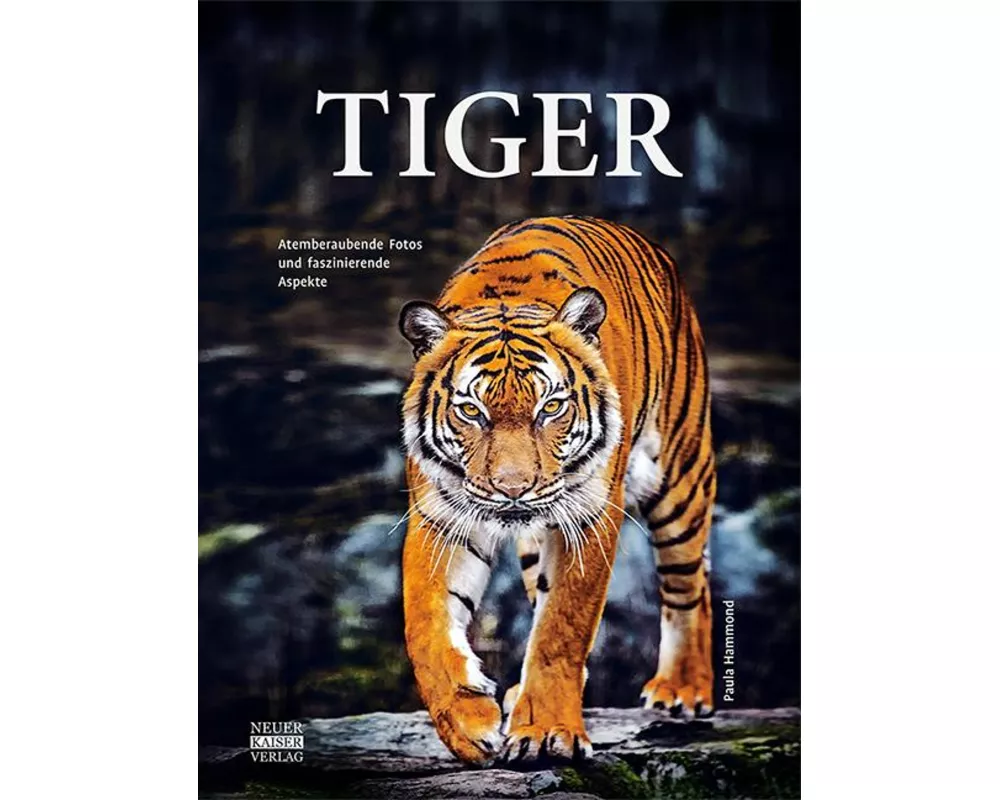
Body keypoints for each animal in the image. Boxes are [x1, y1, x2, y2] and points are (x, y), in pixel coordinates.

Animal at [398, 215, 715, 765]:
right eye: (471, 411)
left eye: (550, 407)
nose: (513, 489)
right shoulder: (441, 517)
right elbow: (426, 623)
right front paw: (468, 725)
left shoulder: (588, 515)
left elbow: (561, 628)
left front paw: (546, 735)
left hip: (680, 479)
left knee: (690, 586)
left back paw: (684, 689)